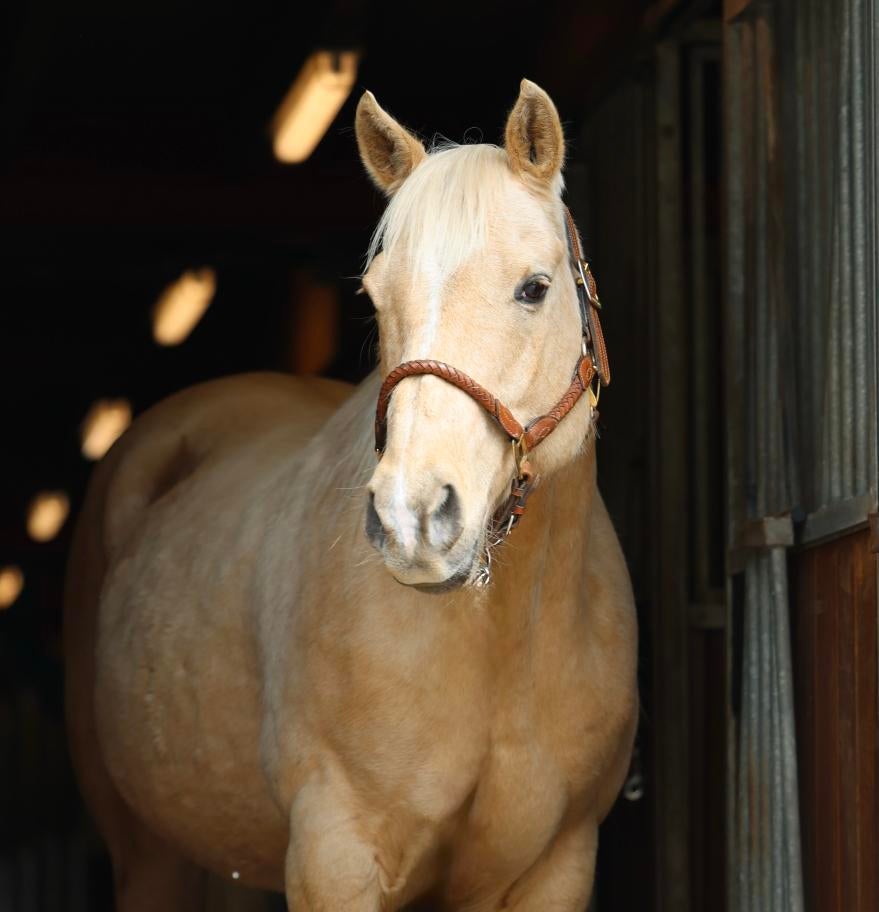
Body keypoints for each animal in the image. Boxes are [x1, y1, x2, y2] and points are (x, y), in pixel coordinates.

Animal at [64, 79, 638, 911]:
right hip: (147, 854)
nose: (413, 519)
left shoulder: (558, 866)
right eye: (375, 296)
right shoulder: (336, 856)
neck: (500, 646)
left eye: (534, 288)